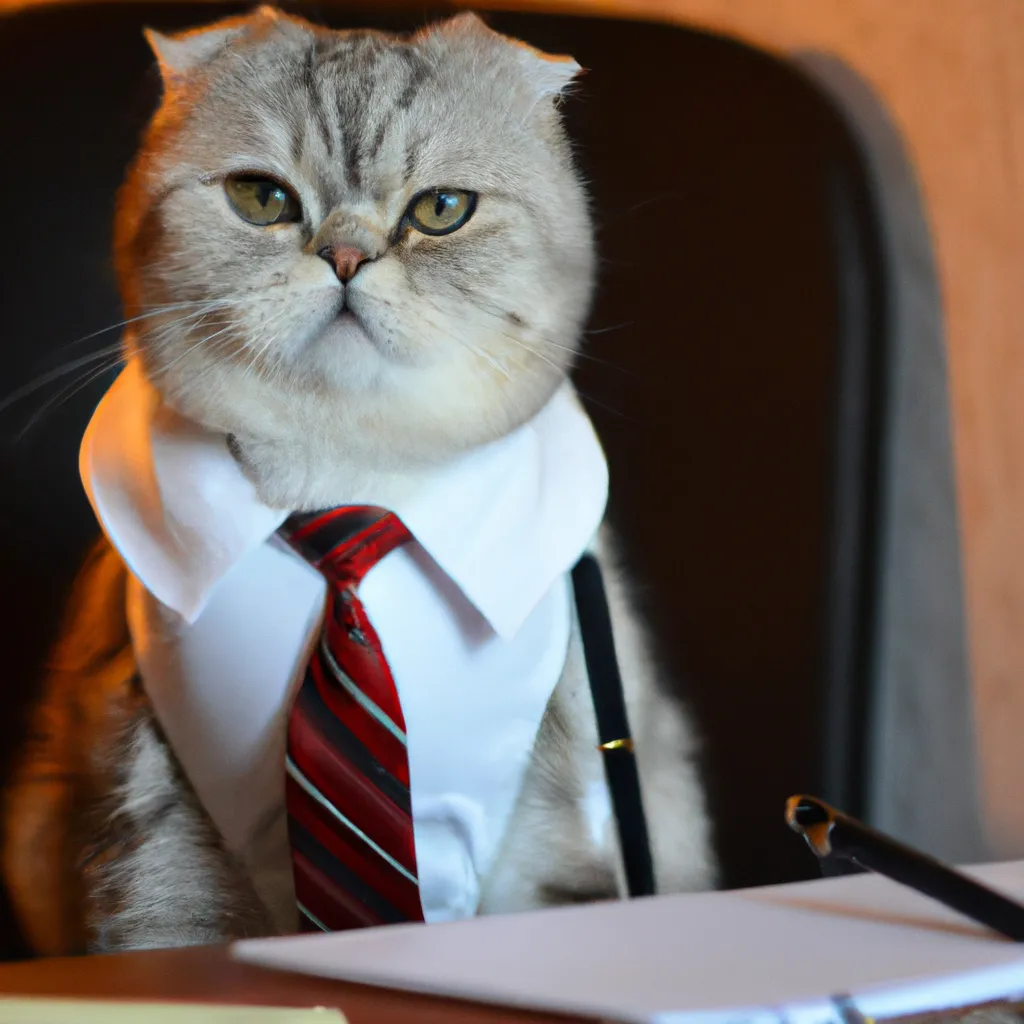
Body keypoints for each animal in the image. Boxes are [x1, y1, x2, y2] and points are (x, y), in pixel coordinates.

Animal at [0, 8, 716, 954]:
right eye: (261, 199)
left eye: (441, 211)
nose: (342, 255)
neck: (348, 488)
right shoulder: (161, 839)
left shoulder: (565, 834)